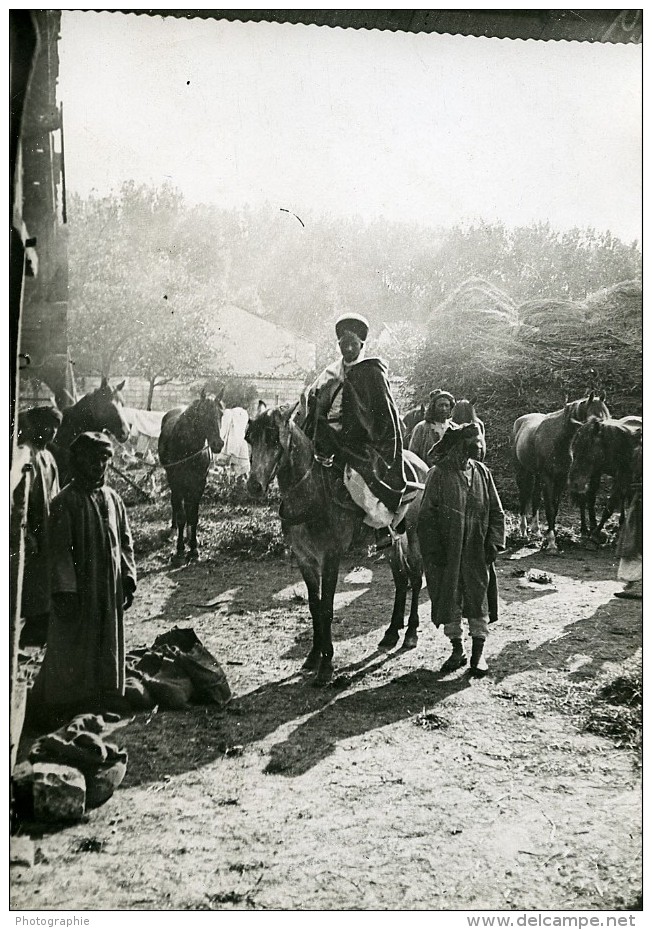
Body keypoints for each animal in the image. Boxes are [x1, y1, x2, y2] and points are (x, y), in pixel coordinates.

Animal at [158, 390, 224, 560]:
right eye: (202, 414)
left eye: (221, 413)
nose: (218, 444)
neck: (188, 449)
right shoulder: (176, 482)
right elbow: (181, 515)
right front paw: (180, 549)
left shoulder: (199, 483)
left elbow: (193, 515)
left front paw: (194, 547)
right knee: (175, 504)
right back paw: (174, 531)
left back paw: (188, 536)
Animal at [246, 404, 428, 680]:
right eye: (249, 439)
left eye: (274, 439)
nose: (254, 486)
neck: (310, 495)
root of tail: (421, 465)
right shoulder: (305, 559)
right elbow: (314, 606)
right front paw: (313, 656)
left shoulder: (330, 558)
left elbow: (327, 608)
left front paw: (327, 664)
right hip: (392, 542)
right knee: (401, 578)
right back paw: (391, 632)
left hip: (414, 535)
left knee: (415, 578)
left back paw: (410, 633)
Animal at [512, 392, 612, 552]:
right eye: (594, 420)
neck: (559, 440)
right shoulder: (548, 479)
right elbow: (550, 508)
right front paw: (551, 542)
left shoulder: (560, 479)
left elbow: (555, 507)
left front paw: (550, 537)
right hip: (523, 471)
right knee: (524, 496)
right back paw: (523, 531)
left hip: (537, 476)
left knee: (535, 497)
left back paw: (536, 529)